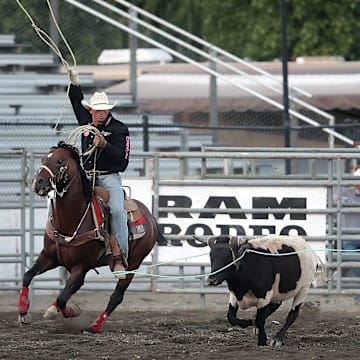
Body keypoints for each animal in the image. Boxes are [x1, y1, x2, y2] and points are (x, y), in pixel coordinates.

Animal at [17, 142, 160, 334]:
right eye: (43, 159)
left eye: (60, 161)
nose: (37, 182)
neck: (70, 220)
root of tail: (150, 216)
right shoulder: (49, 257)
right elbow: (28, 276)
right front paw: (23, 312)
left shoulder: (81, 268)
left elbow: (62, 298)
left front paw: (64, 310)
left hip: (133, 264)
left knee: (116, 296)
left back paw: (94, 326)